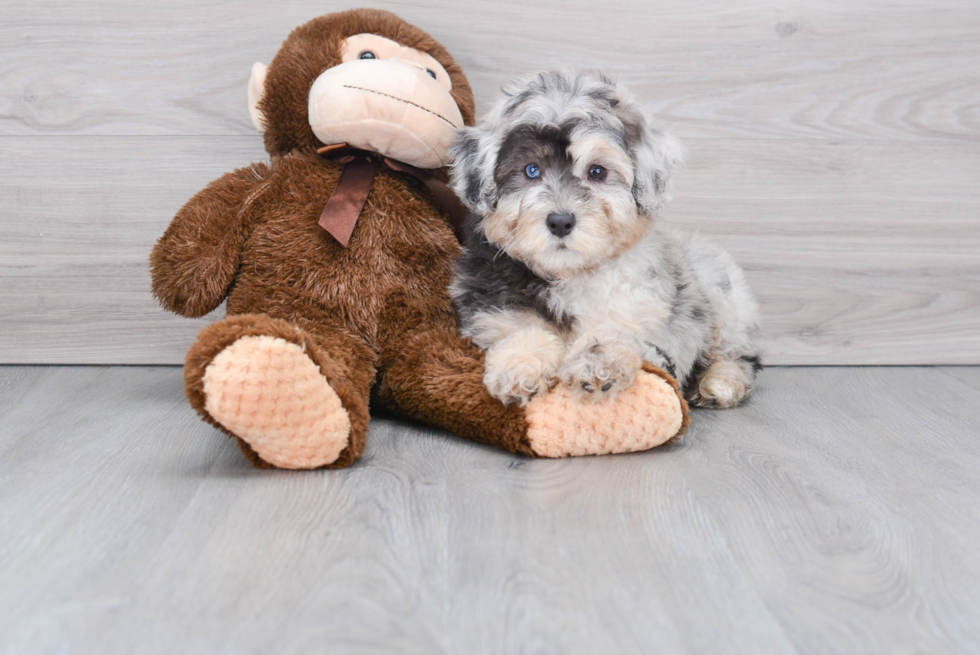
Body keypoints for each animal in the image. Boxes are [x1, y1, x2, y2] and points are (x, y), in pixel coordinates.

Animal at [448, 72, 760, 410]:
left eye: (597, 172)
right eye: (531, 170)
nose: (560, 221)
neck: (571, 275)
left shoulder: (652, 325)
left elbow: (615, 333)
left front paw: (596, 361)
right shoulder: (493, 312)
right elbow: (520, 331)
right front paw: (520, 365)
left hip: (722, 292)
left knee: (738, 353)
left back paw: (721, 382)